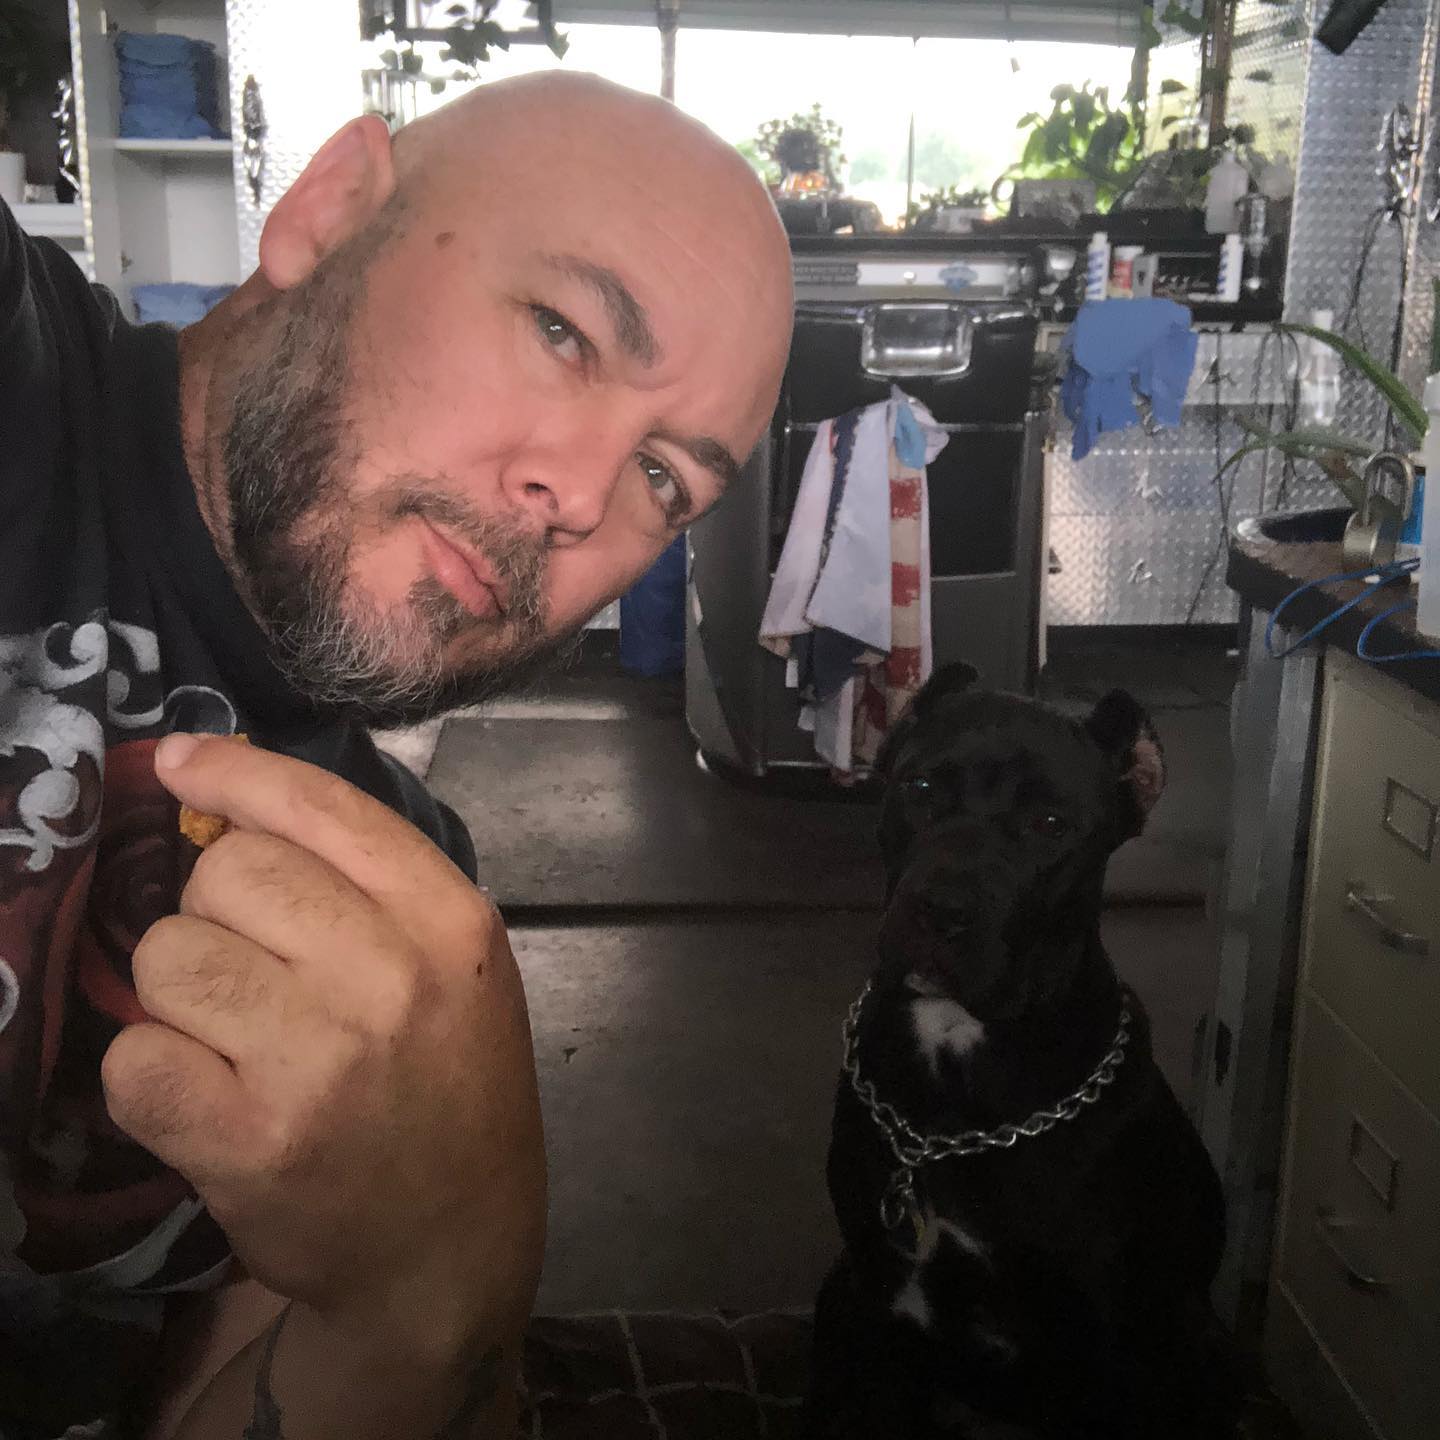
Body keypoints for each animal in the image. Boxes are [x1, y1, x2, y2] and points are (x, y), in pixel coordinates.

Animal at [807, 664, 1238, 1439]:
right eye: (919, 788)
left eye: (1050, 825)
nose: (941, 910)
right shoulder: (875, 1306)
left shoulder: (1112, 1352)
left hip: (1204, 1352)